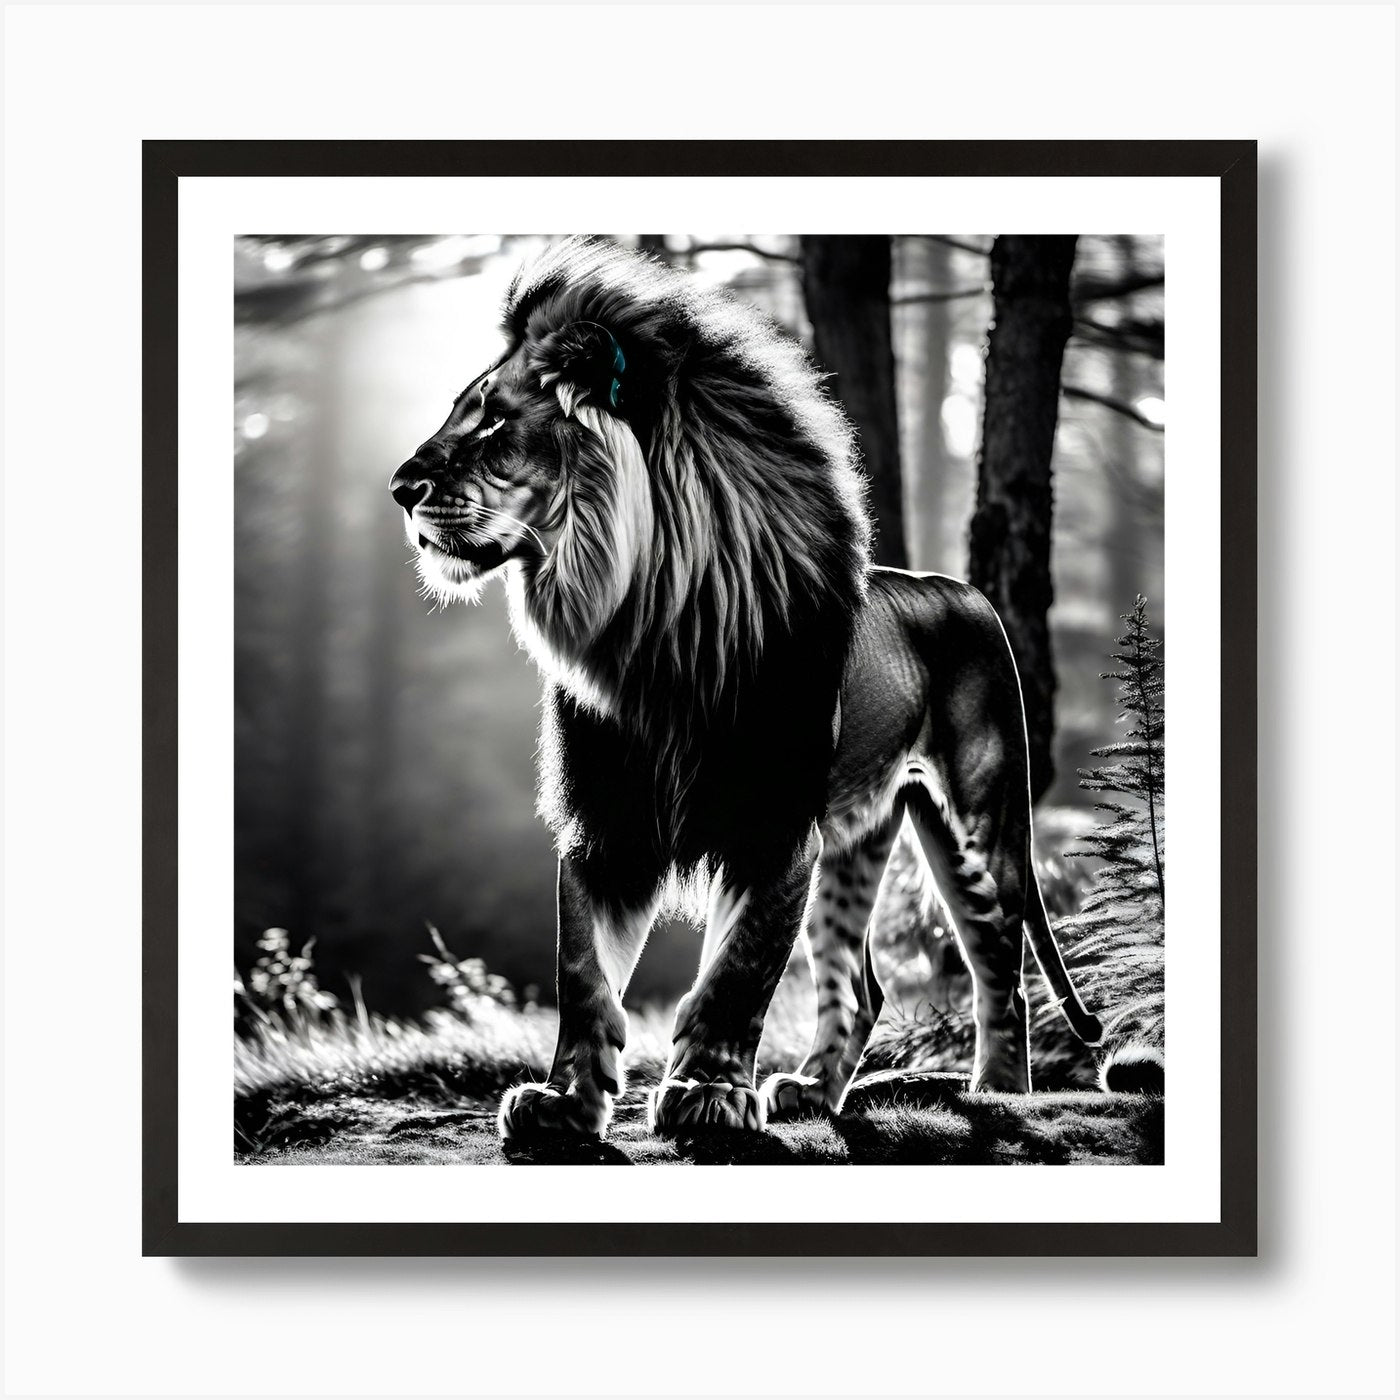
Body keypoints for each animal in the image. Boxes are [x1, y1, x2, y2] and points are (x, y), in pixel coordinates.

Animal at [389, 236, 1102, 1139]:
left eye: (492, 421)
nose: (399, 488)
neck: (651, 630)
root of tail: (966, 592)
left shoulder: (772, 822)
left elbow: (739, 967)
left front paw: (707, 1093)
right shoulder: (605, 819)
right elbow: (584, 974)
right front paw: (564, 1105)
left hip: (980, 821)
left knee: (1000, 965)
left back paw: (1000, 1092)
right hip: (859, 840)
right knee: (861, 988)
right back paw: (812, 1093)